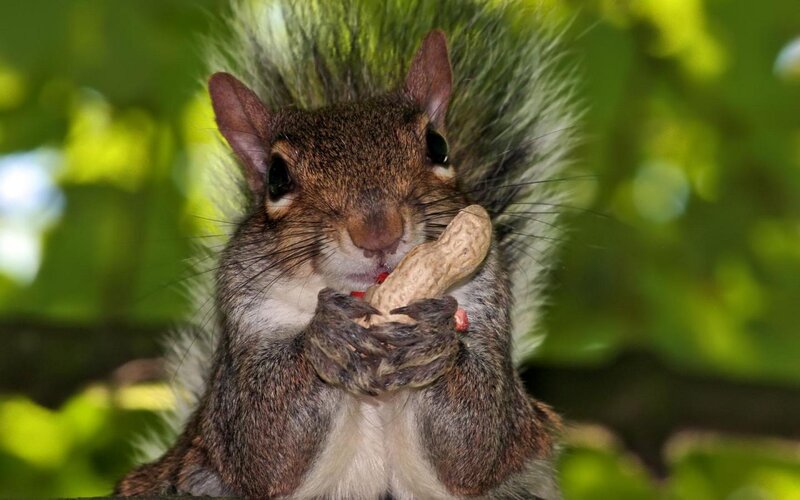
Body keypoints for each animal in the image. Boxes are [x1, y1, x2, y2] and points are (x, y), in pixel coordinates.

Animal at [115, 0, 577, 498]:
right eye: (276, 177)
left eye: (438, 146)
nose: (378, 232)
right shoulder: (242, 338)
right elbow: (261, 440)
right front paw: (327, 335)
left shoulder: (487, 301)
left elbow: (480, 441)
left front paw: (433, 338)